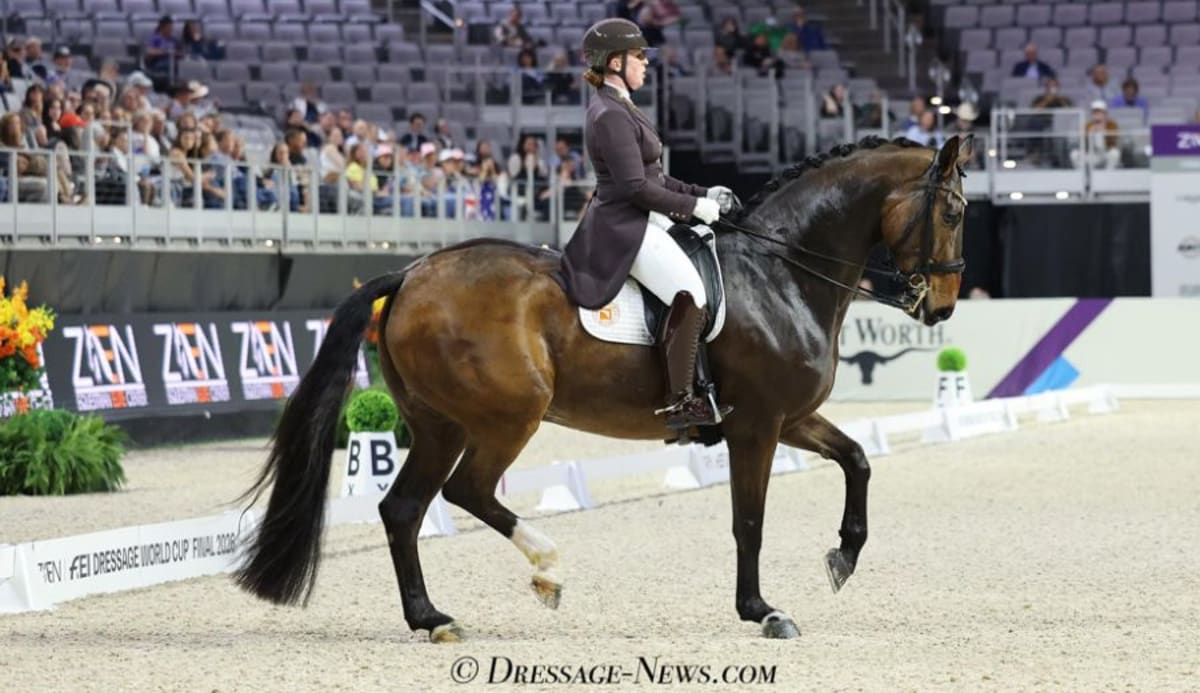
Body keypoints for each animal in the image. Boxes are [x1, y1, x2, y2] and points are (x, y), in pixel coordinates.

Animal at [234, 134, 974, 641]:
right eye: (955, 211)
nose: (940, 307)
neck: (781, 271)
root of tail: (412, 271)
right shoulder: (757, 424)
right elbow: (750, 521)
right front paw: (762, 611)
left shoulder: (791, 417)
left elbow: (859, 459)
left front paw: (842, 555)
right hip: (507, 415)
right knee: (465, 491)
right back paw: (546, 568)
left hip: (439, 423)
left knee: (403, 508)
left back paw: (433, 617)